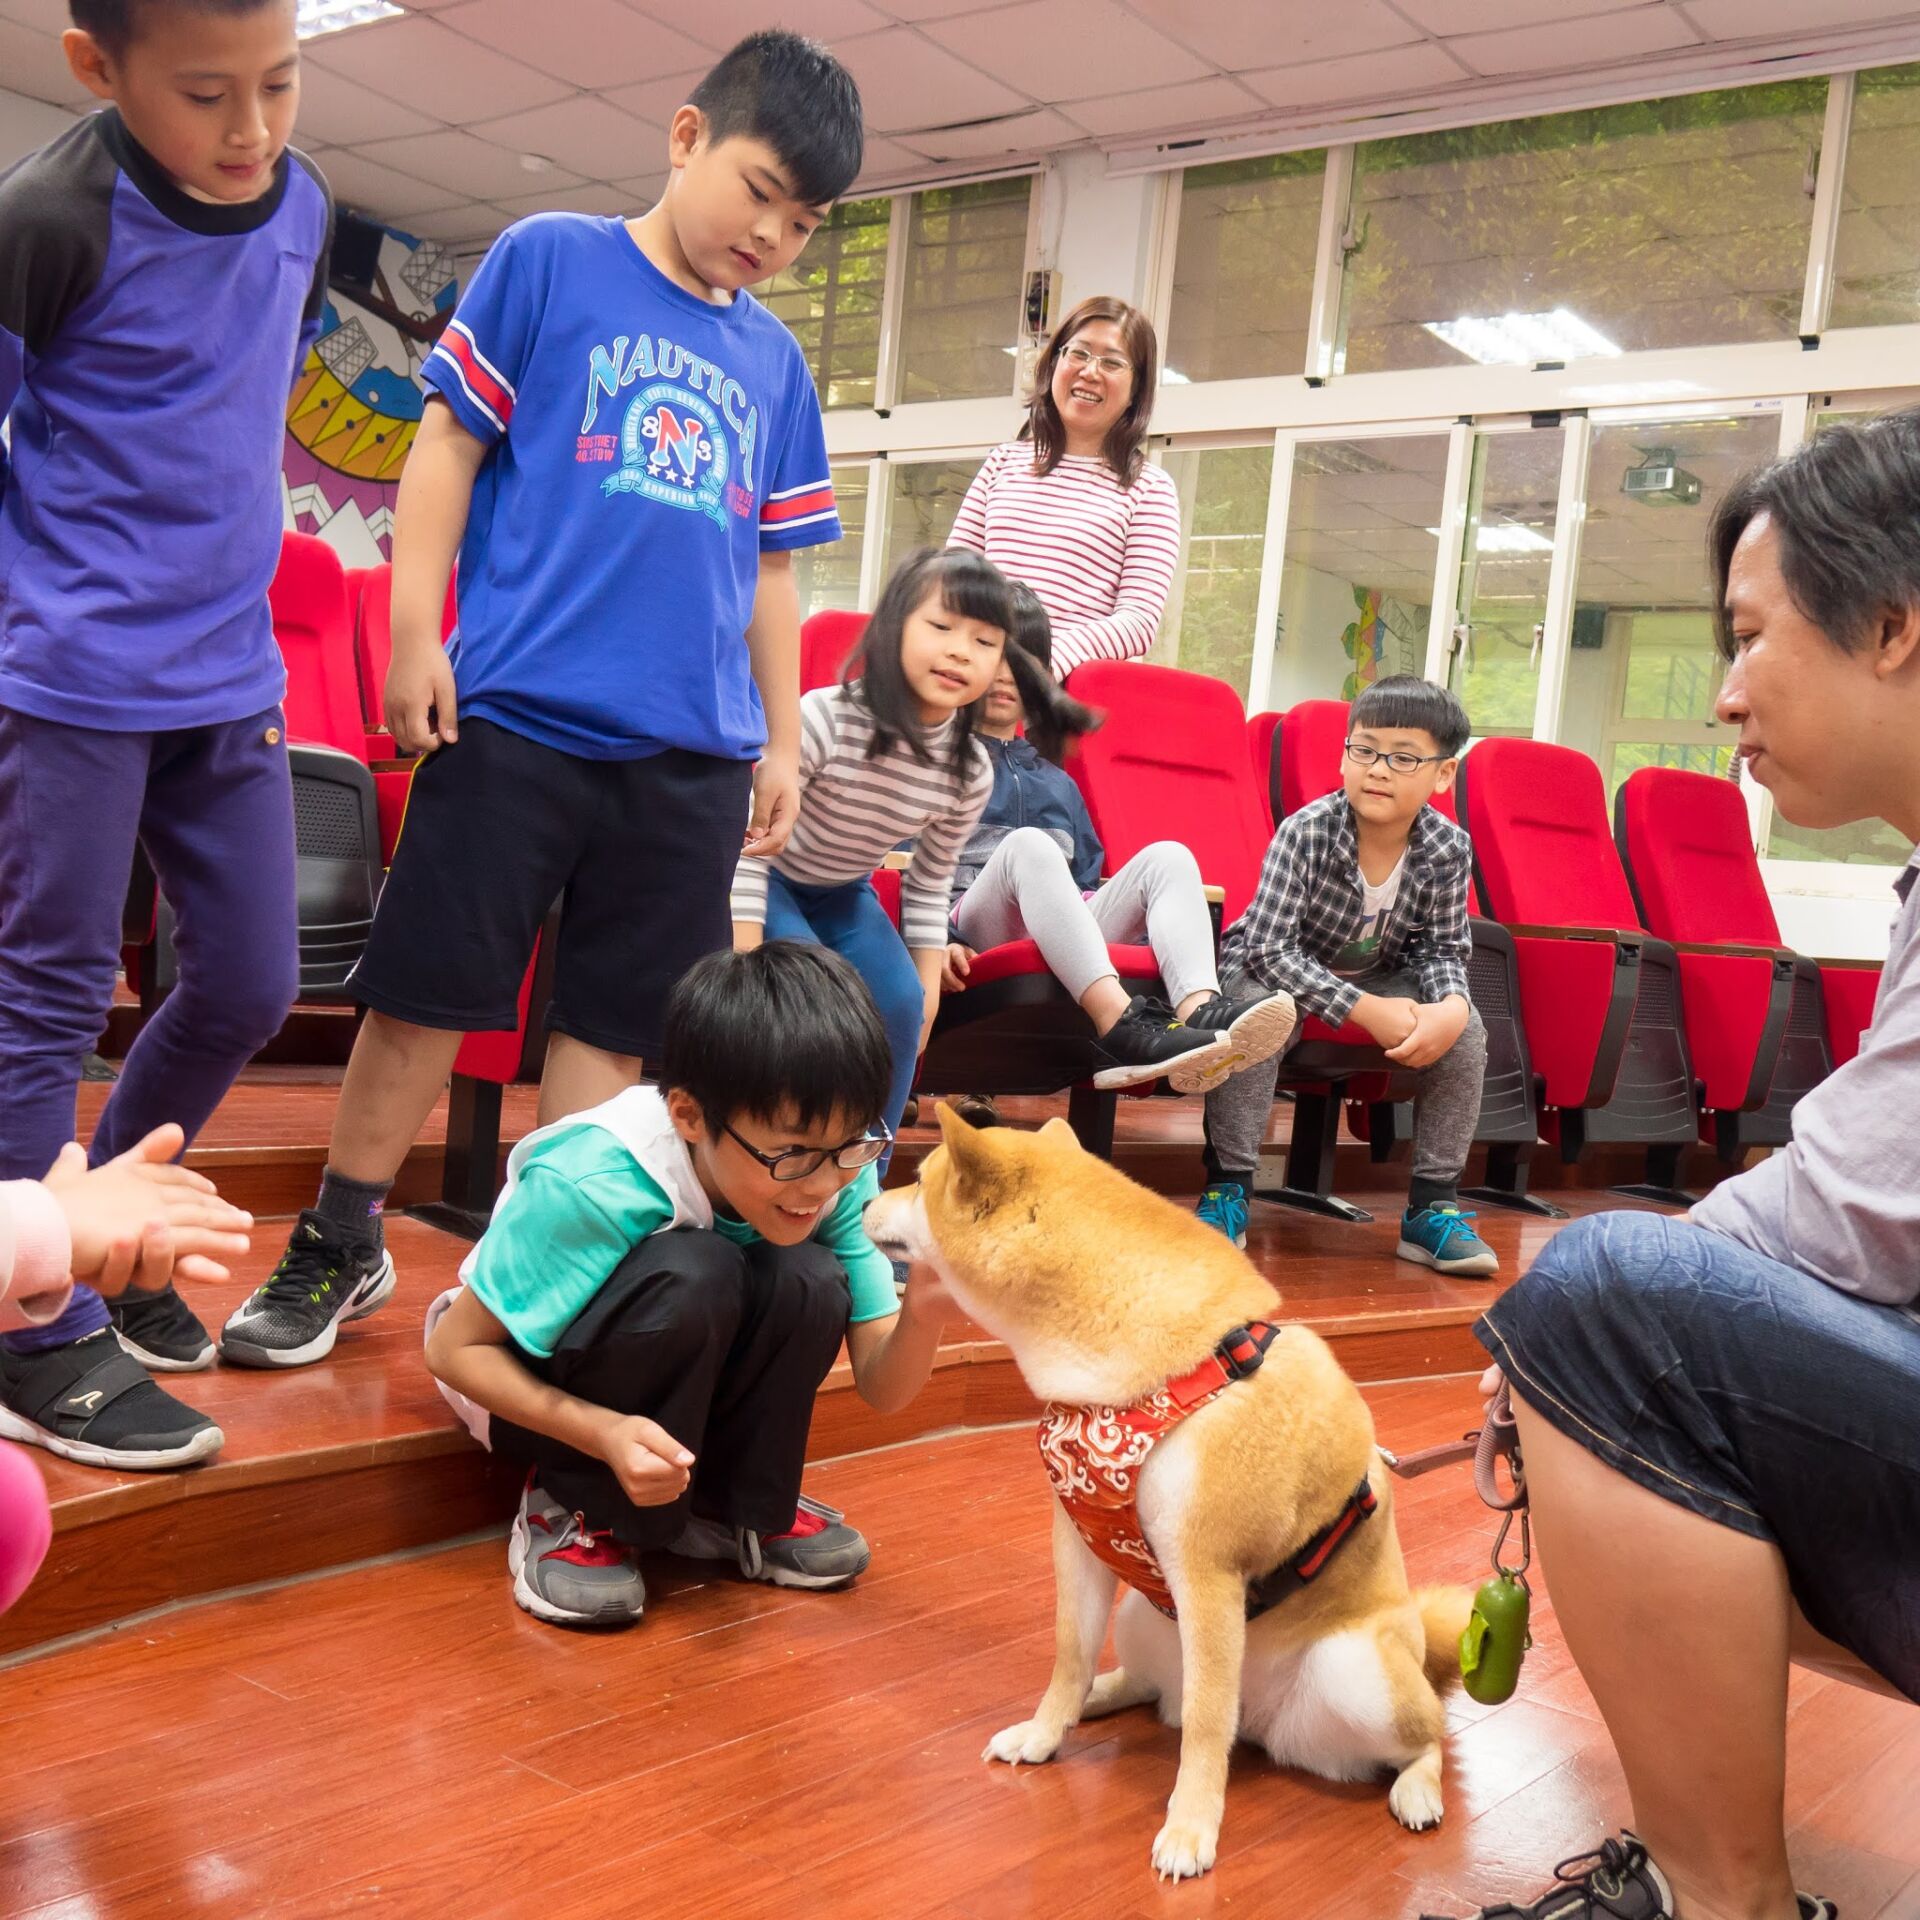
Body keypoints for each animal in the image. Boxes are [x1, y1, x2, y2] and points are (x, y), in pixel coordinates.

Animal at [867, 1113, 1466, 1873]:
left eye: (916, 1182)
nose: (862, 1201)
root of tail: (1262, 1724)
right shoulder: (1081, 1543)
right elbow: (1069, 1656)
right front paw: (1045, 1732)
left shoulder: (1207, 1575)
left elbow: (1207, 1727)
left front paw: (1191, 1827)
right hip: (1144, 1614)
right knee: (1151, 1687)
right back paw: (1095, 1698)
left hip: (1355, 1674)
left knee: (1423, 1737)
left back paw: (1417, 1789)